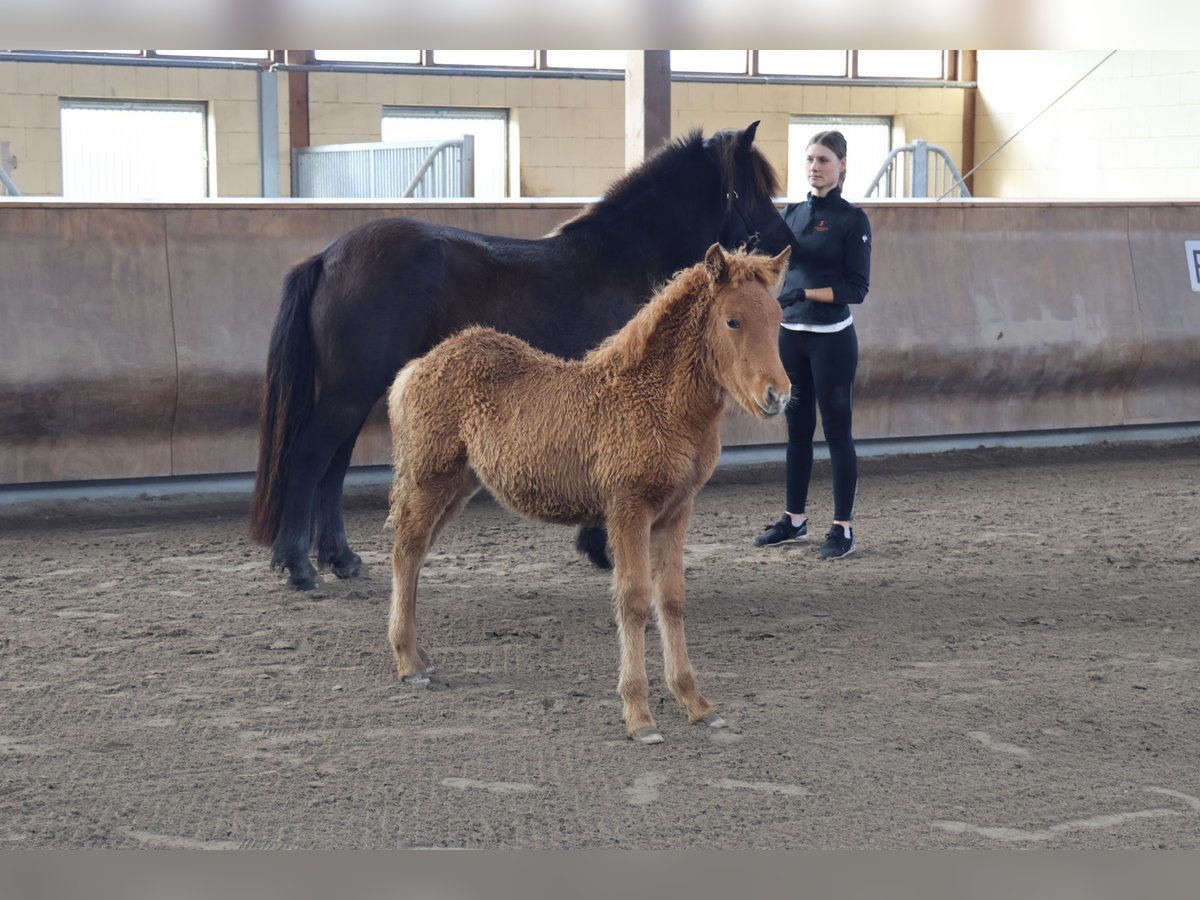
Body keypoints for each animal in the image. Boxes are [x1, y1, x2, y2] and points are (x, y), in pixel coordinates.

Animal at [250, 120, 796, 592]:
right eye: (751, 188)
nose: (788, 248)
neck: (624, 257)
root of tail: (327, 257)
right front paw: (602, 546)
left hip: (356, 391)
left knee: (333, 465)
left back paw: (340, 559)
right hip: (349, 390)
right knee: (310, 457)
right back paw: (298, 565)